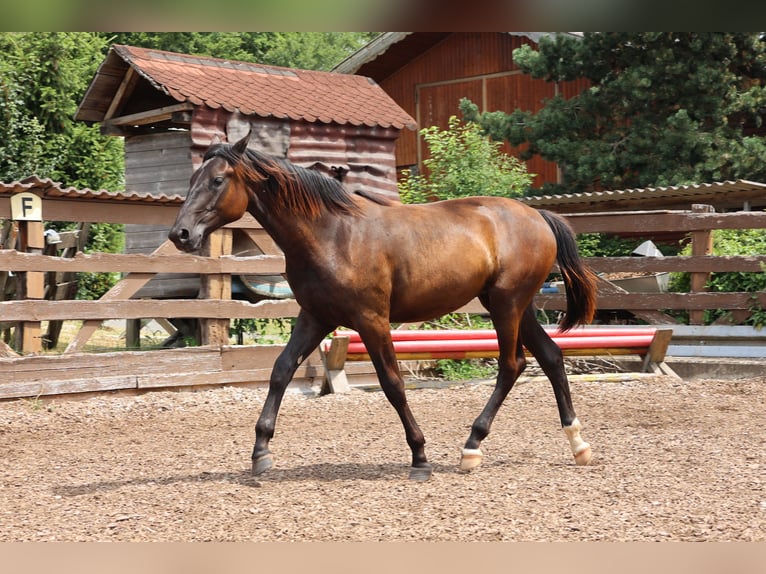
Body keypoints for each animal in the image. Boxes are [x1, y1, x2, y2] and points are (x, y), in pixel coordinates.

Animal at [170, 134, 600, 482]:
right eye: (190, 180)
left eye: (217, 180)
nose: (180, 234)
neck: (331, 233)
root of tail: (538, 216)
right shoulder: (316, 317)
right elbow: (280, 371)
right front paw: (260, 453)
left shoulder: (371, 320)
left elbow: (392, 384)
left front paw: (420, 458)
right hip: (511, 305)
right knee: (550, 356)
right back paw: (578, 444)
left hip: (506, 304)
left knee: (512, 365)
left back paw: (472, 447)